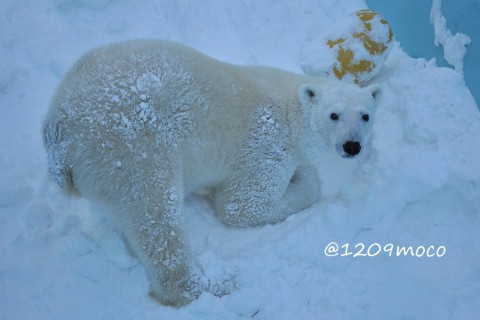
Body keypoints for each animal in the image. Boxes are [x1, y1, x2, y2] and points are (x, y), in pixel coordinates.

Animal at [43, 39, 380, 304]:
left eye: (365, 115)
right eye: (334, 115)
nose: (352, 146)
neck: (291, 110)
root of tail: (57, 125)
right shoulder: (265, 141)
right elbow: (242, 204)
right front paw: (305, 176)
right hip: (130, 145)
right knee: (155, 214)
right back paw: (213, 282)